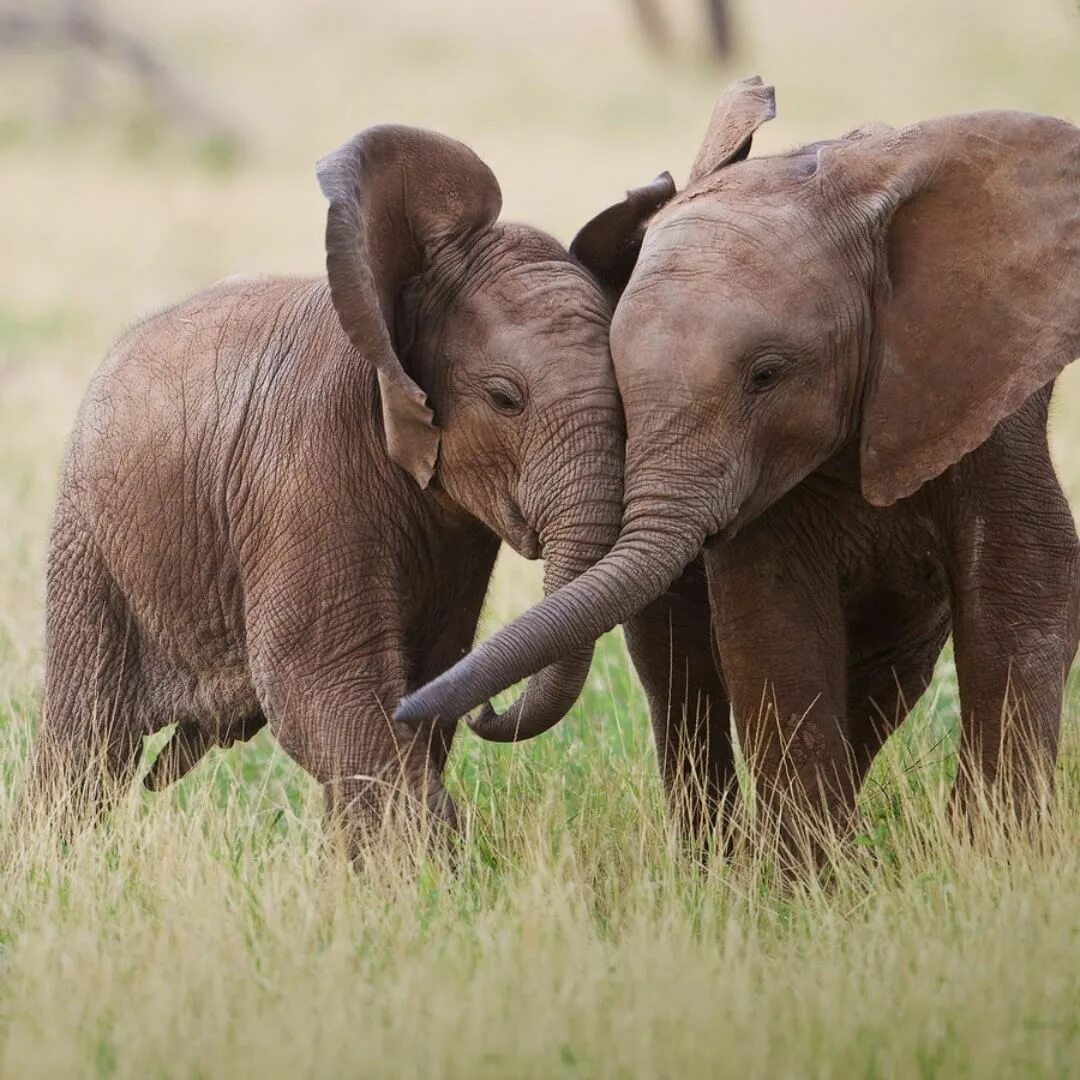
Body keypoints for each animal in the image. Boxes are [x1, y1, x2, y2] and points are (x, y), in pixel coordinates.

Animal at [23, 120, 626, 842]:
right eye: (506, 399)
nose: (492, 713)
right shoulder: (307, 471)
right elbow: (321, 690)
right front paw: (437, 862)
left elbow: (423, 679)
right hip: (92, 536)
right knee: (89, 739)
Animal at [401, 78, 1080, 842]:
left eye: (766, 375)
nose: (478, 709)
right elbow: (773, 615)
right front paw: (812, 870)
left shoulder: (989, 395)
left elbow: (1021, 586)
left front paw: (994, 848)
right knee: (679, 670)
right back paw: (718, 857)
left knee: (888, 674)